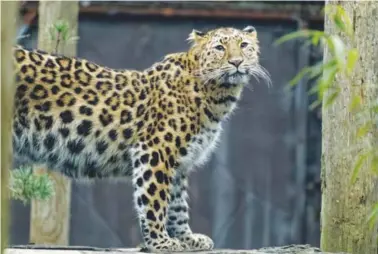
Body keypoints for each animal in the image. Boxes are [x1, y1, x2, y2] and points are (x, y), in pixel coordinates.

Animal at [11, 25, 272, 252]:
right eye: (219, 47)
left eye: (244, 45)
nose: (236, 62)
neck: (217, 95)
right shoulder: (155, 151)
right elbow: (155, 200)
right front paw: (160, 242)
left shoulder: (179, 163)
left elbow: (178, 205)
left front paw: (187, 239)